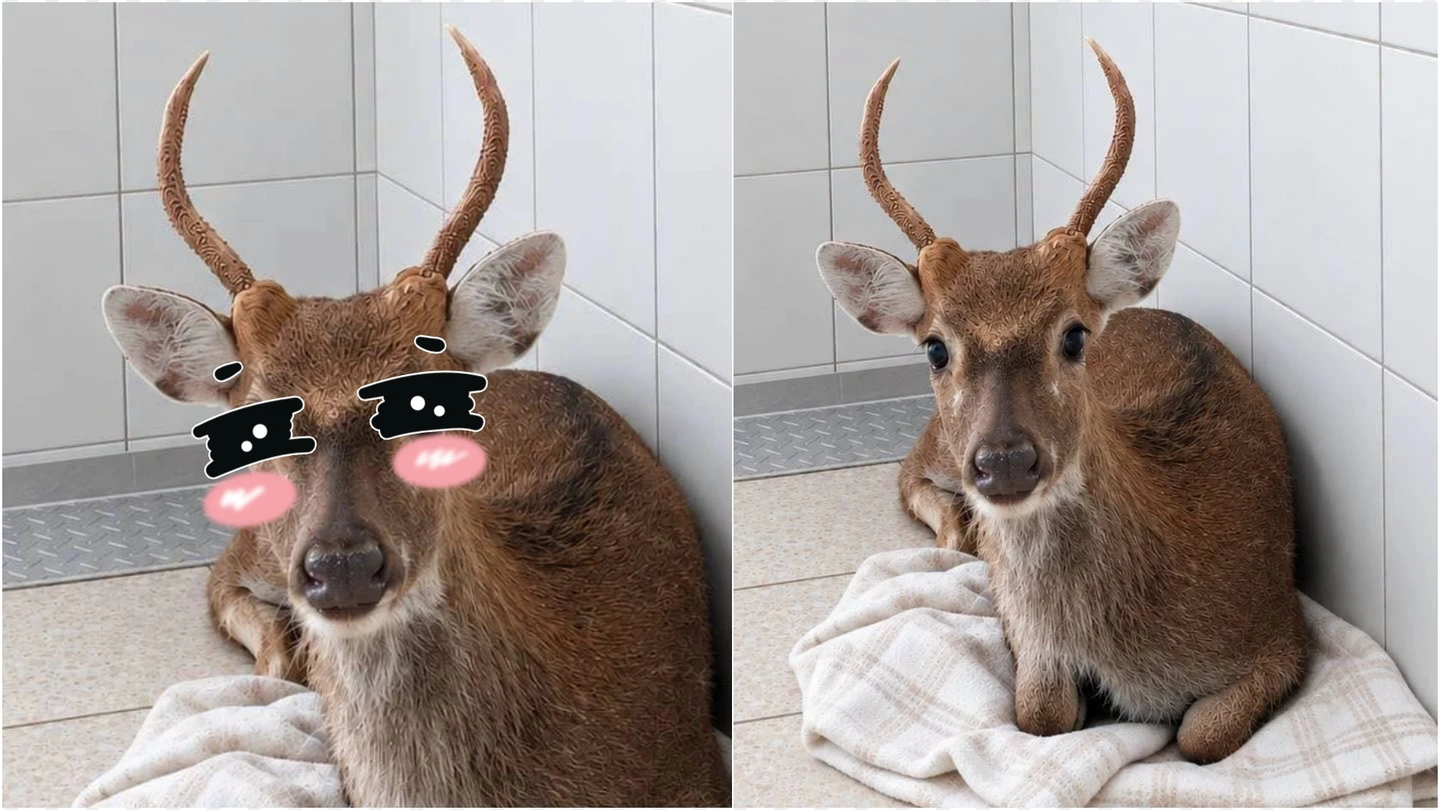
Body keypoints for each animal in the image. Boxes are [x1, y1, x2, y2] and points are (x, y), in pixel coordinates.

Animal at [815, 40, 1308, 765]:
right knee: (907, 473)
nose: (1004, 462)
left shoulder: (1282, 626)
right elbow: (1041, 714)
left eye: (1074, 334)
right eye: (934, 347)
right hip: (939, 445)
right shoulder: (1034, 649)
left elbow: (1200, 735)